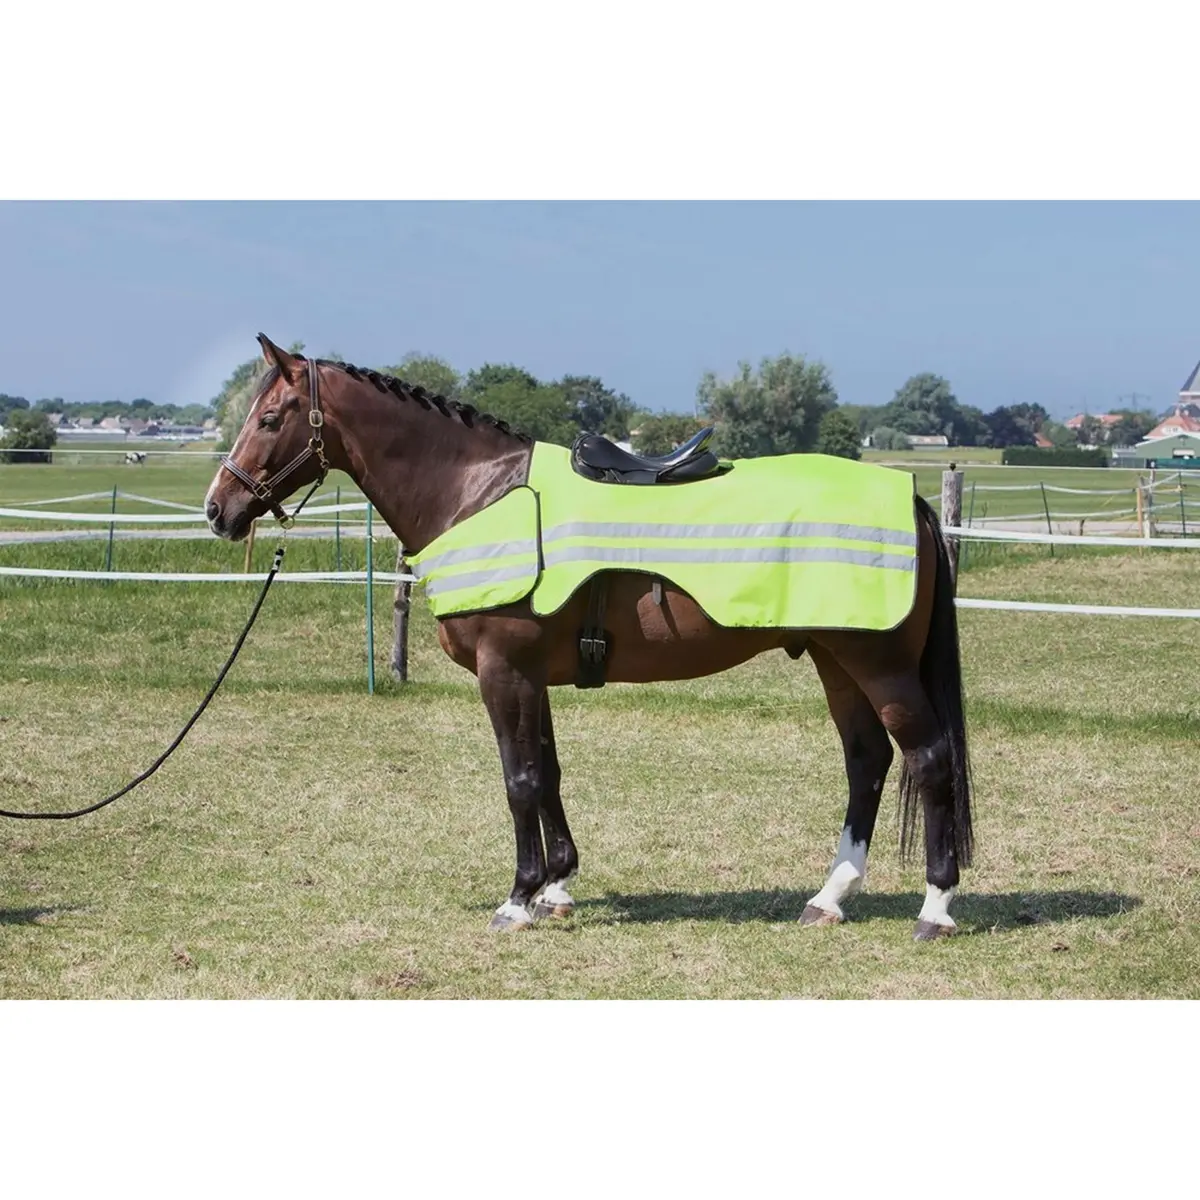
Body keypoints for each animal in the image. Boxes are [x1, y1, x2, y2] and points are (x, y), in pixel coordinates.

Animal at [205, 335, 974, 940]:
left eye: (268, 417)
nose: (219, 509)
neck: (480, 494)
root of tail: (909, 499)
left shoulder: (504, 671)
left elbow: (518, 780)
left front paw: (518, 900)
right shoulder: (530, 676)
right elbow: (546, 774)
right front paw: (557, 887)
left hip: (877, 665)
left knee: (930, 759)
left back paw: (935, 908)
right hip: (835, 660)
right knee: (868, 761)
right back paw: (829, 897)